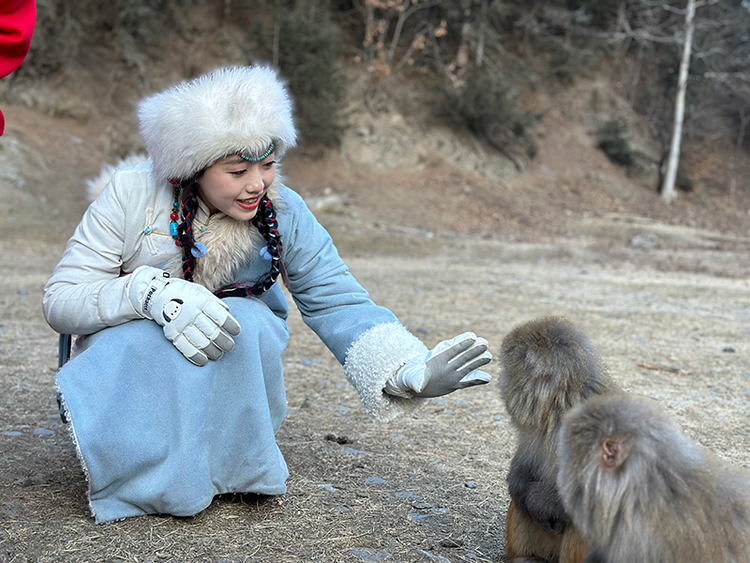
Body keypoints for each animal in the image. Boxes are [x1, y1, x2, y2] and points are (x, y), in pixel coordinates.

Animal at [500, 318, 624, 563]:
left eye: (506, 368)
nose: (500, 380)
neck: (561, 404)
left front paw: (537, 500)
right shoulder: (537, 429)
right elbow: (524, 468)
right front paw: (519, 485)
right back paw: (528, 558)